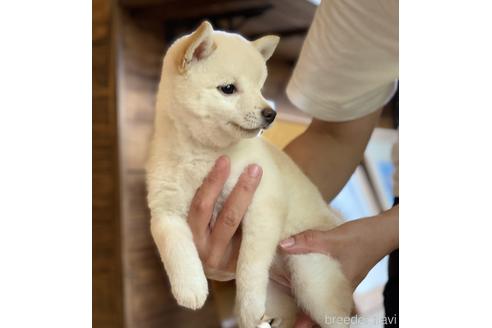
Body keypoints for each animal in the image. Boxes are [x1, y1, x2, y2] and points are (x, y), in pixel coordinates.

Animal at [147, 21, 354, 326]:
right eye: (228, 89)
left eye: (260, 88)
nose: (271, 113)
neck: (203, 153)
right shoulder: (166, 209)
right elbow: (176, 249)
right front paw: (190, 287)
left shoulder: (263, 203)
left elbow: (250, 266)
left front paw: (248, 304)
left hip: (312, 277)